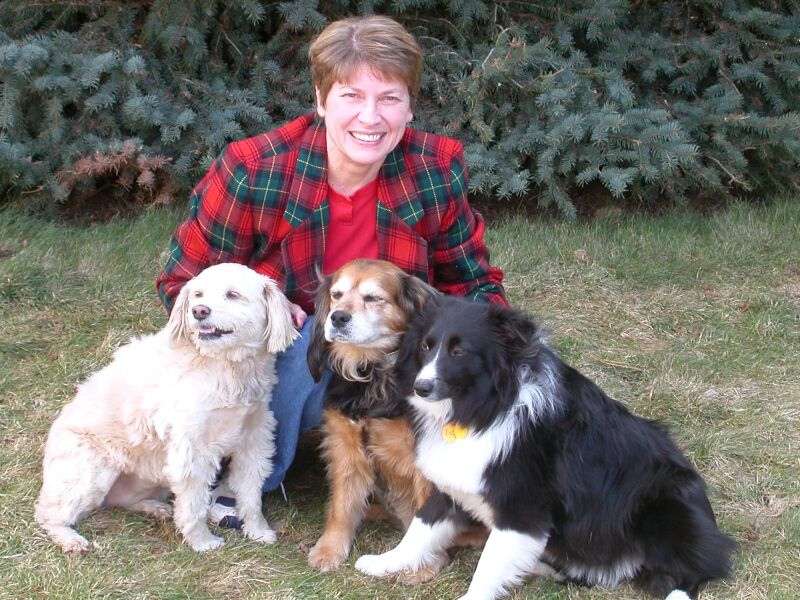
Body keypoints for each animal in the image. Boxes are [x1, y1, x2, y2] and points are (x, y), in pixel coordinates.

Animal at [35, 262, 298, 554]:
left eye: (232, 294)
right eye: (197, 295)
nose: (199, 311)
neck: (225, 366)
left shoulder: (254, 440)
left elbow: (251, 496)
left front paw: (259, 531)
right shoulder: (192, 451)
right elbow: (194, 505)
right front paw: (202, 542)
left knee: (124, 501)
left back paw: (156, 508)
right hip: (91, 473)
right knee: (47, 514)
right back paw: (71, 539)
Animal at [356, 295, 735, 600]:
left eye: (459, 350)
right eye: (426, 346)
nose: (421, 387)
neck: (484, 408)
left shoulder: (522, 508)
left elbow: (488, 565)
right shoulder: (454, 485)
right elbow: (421, 529)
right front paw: (383, 563)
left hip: (664, 505)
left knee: (690, 572)